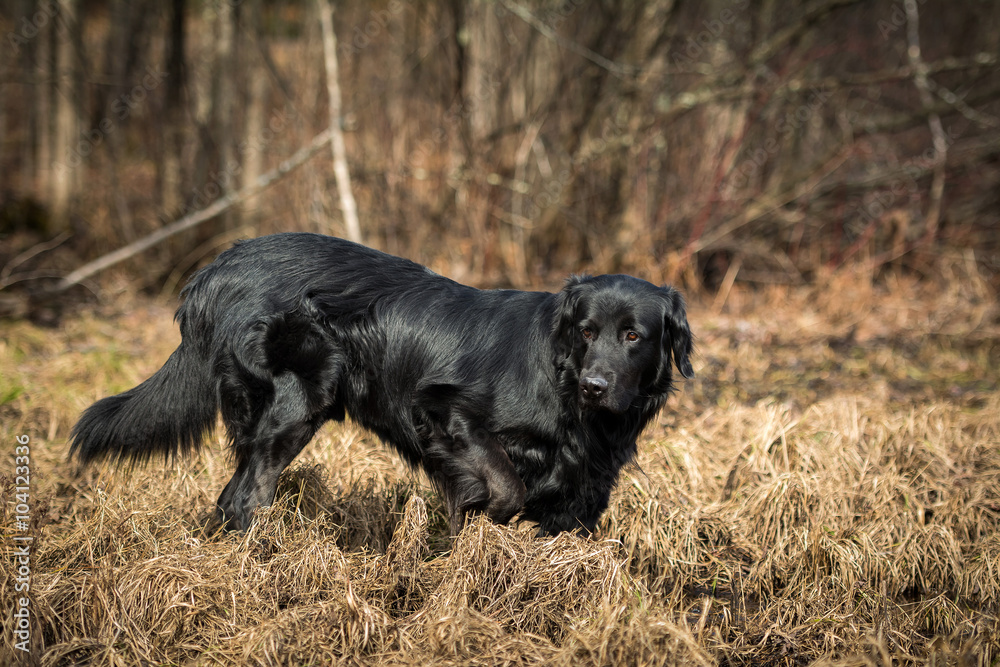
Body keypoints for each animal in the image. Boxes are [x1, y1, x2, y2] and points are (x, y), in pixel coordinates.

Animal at [72, 235, 696, 536]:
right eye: (587, 331)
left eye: (634, 336)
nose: (595, 385)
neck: (562, 384)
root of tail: (211, 272)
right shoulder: (440, 407)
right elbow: (506, 486)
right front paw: (475, 524)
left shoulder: (582, 494)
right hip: (295, 404)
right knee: (241, 497)